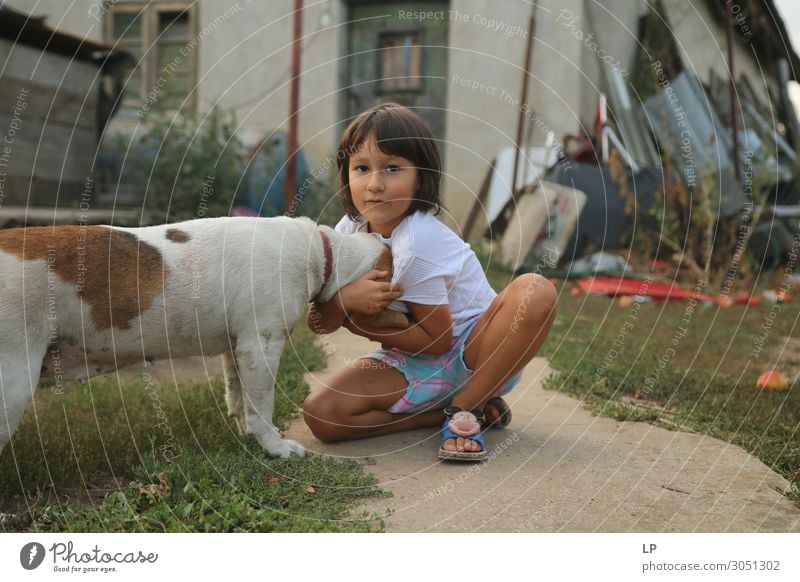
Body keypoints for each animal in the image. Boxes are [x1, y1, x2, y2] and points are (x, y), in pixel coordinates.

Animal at [0, 217, 390, 458]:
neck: (321, 253)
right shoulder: (261, 346)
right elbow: (261, 406)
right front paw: (274, 447)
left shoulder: (239, 349)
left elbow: (239, 396)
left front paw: (246, 430)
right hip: (14, 383)